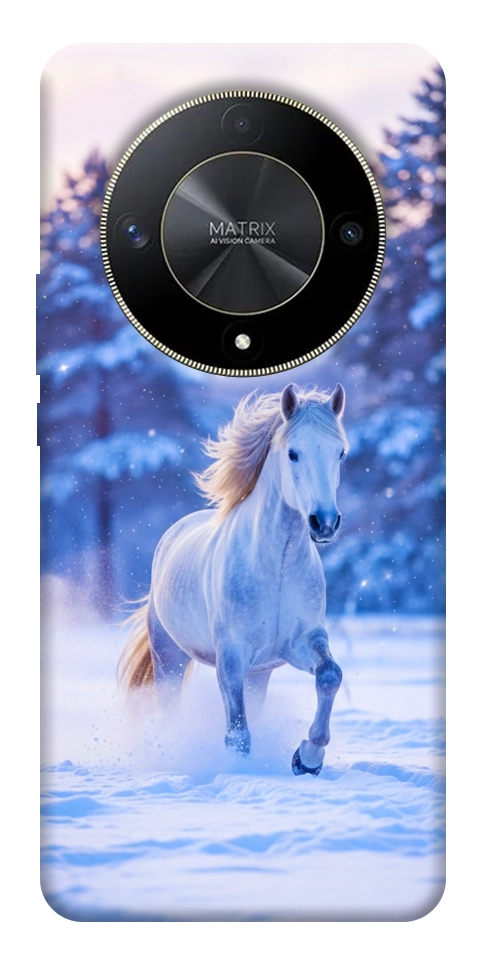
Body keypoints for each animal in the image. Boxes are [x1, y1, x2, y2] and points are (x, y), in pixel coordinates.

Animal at [119, 383, 348, 775]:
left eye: (340, 453)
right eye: (293, 453)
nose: (324, 523)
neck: (276, 567)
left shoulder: (301, 642)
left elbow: (330, 676)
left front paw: (307, 758)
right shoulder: (231, 656)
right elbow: (237, 734)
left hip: (259, 674)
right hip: (169, 658)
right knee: (171, 709)